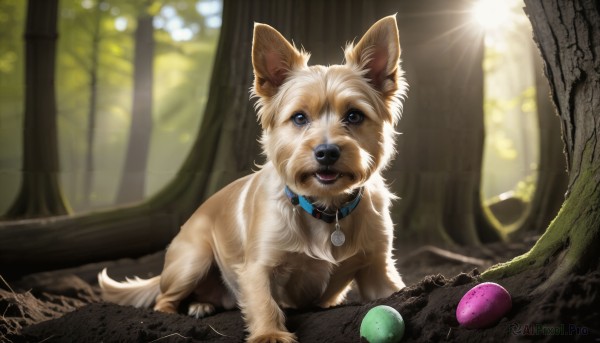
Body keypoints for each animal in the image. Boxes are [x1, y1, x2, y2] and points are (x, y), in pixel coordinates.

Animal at [98, 15, 408, 343]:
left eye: (354, 116)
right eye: (299, 118)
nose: (326, 152)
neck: (325, 208)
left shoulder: (378, 270)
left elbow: (397, 291)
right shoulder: (257, 267)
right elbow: (263, 301)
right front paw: (270, 333)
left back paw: (202, 304)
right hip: (193, 260)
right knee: (162, 299)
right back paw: (179, 313)